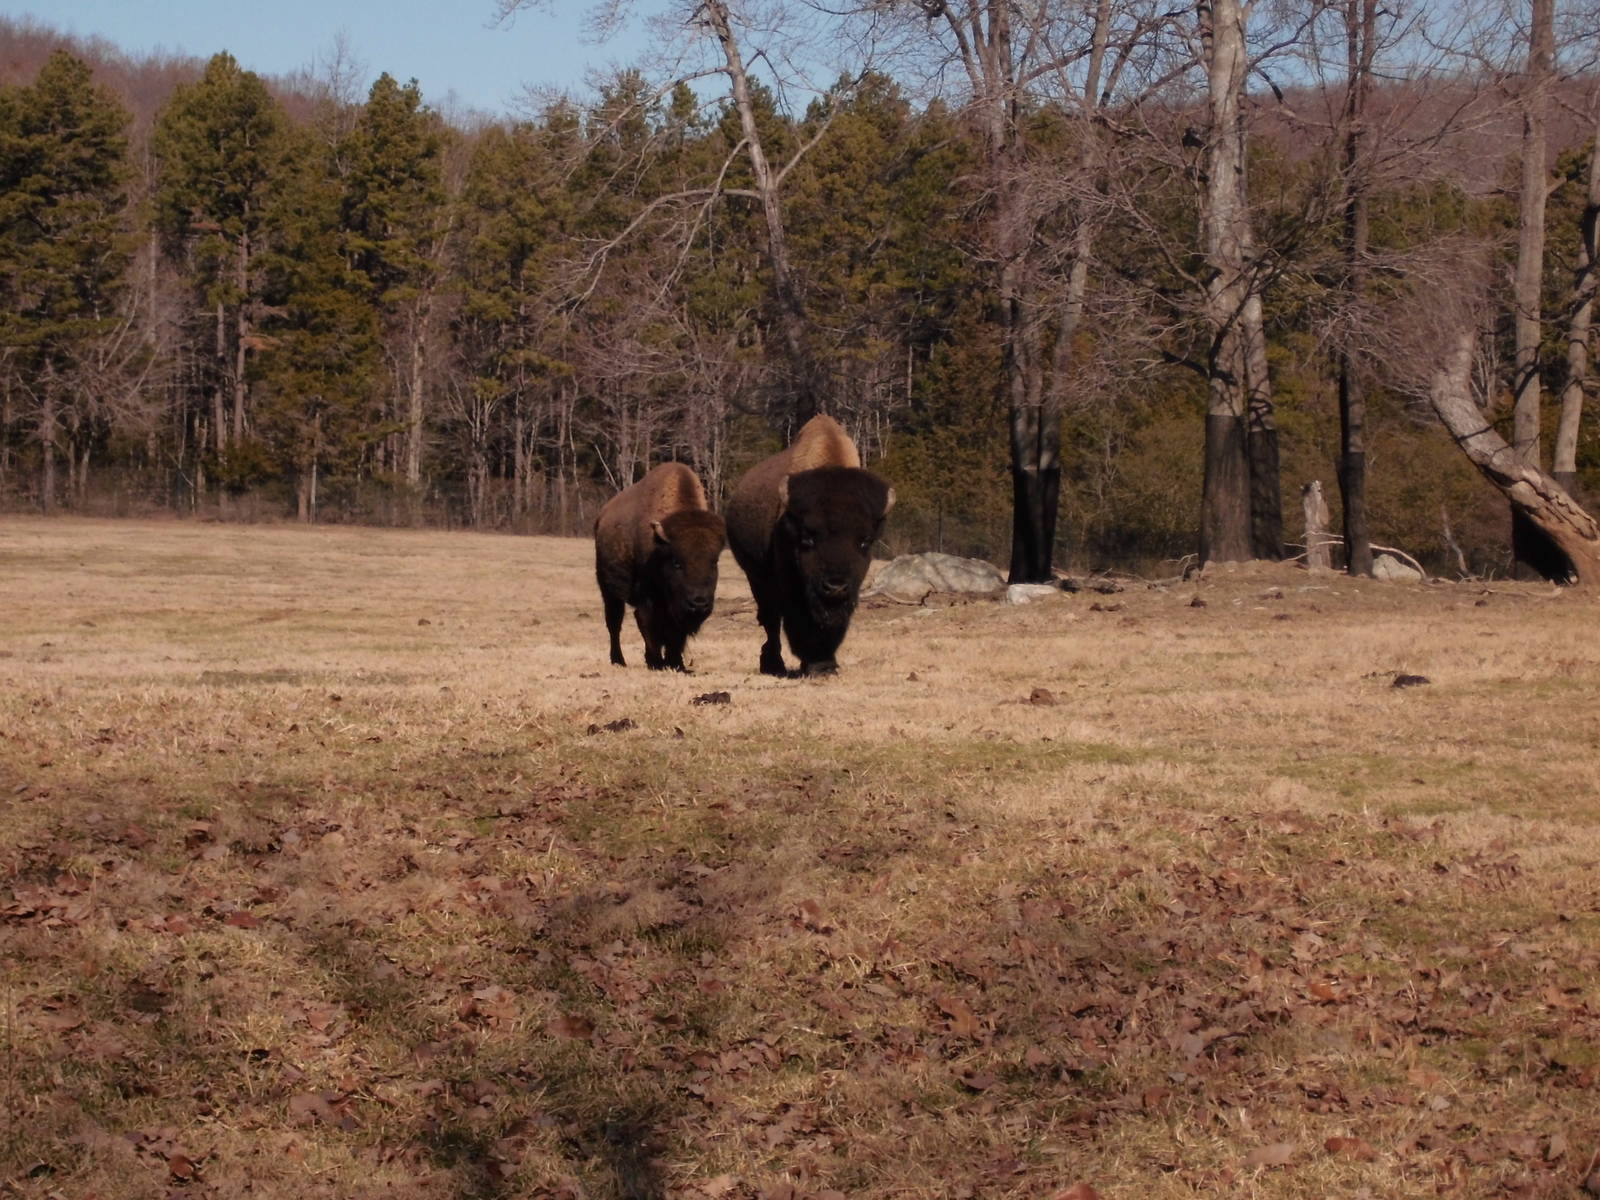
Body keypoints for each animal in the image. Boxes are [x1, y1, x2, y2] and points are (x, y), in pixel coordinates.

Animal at [594, 462, 726, 671]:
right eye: (677, 563)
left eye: (714, 562)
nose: (699, 603)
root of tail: (602, 516)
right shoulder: (648, 598)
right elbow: (648, 623)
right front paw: (655, 661)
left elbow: (676, 632)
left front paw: (676, 663)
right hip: (609, 591)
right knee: (614, 623)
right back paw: (618, 660)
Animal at [725, 415, 894, 677]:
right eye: (807, 539)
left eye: (865, 541)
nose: (835, 586)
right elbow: (797, 618)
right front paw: (816, 664)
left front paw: (825, 665)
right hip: (756, 578)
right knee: (771, 620)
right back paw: (772, 664)